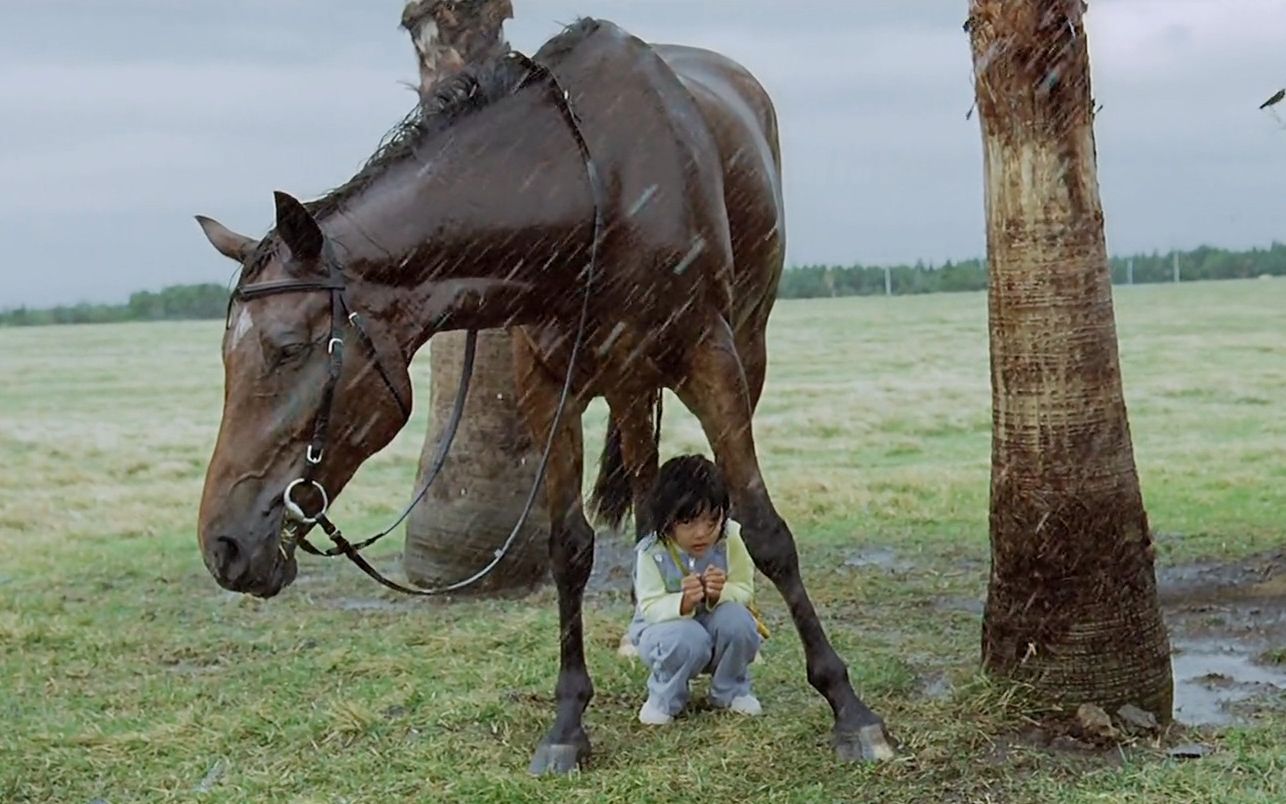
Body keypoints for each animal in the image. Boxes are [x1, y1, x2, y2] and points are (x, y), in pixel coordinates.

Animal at [192, 18, 895, 771]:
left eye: (287, 347)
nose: (223, 546)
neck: (594, 191)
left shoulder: (714, 360)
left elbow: (764, 530)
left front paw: (849, 708)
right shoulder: (545, 388)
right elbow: (569, 548)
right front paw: (567, 721)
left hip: (744, 346)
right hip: (629, 380)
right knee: (646, 491)